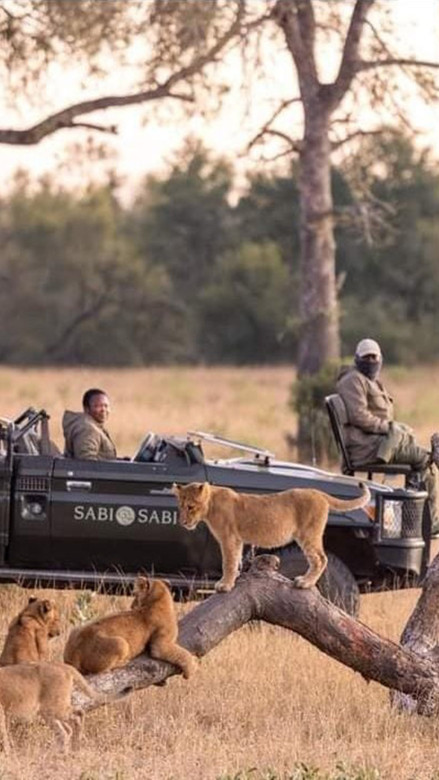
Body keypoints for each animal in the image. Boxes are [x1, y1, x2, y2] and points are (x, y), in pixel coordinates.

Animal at [63, 575, 196, 678]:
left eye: (135, 595)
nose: (131, 606)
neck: (159, 600)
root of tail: (72, 655)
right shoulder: (160, 646)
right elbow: (182, 653)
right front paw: (192, 667)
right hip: (120, 643)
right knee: (100, 671)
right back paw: (124, 662)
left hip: (75, 630)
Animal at [173, 482, 371, 592]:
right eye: (180, 506)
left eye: (190, 507)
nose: (182, 522)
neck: (211, 504)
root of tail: (318, 492)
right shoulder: (237, 540)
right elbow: (235, 560)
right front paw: (233, 579)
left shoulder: (229, 537)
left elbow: (227, 562)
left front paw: (225, 585)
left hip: (308, 534)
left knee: (321, 559)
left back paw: (305, 583)